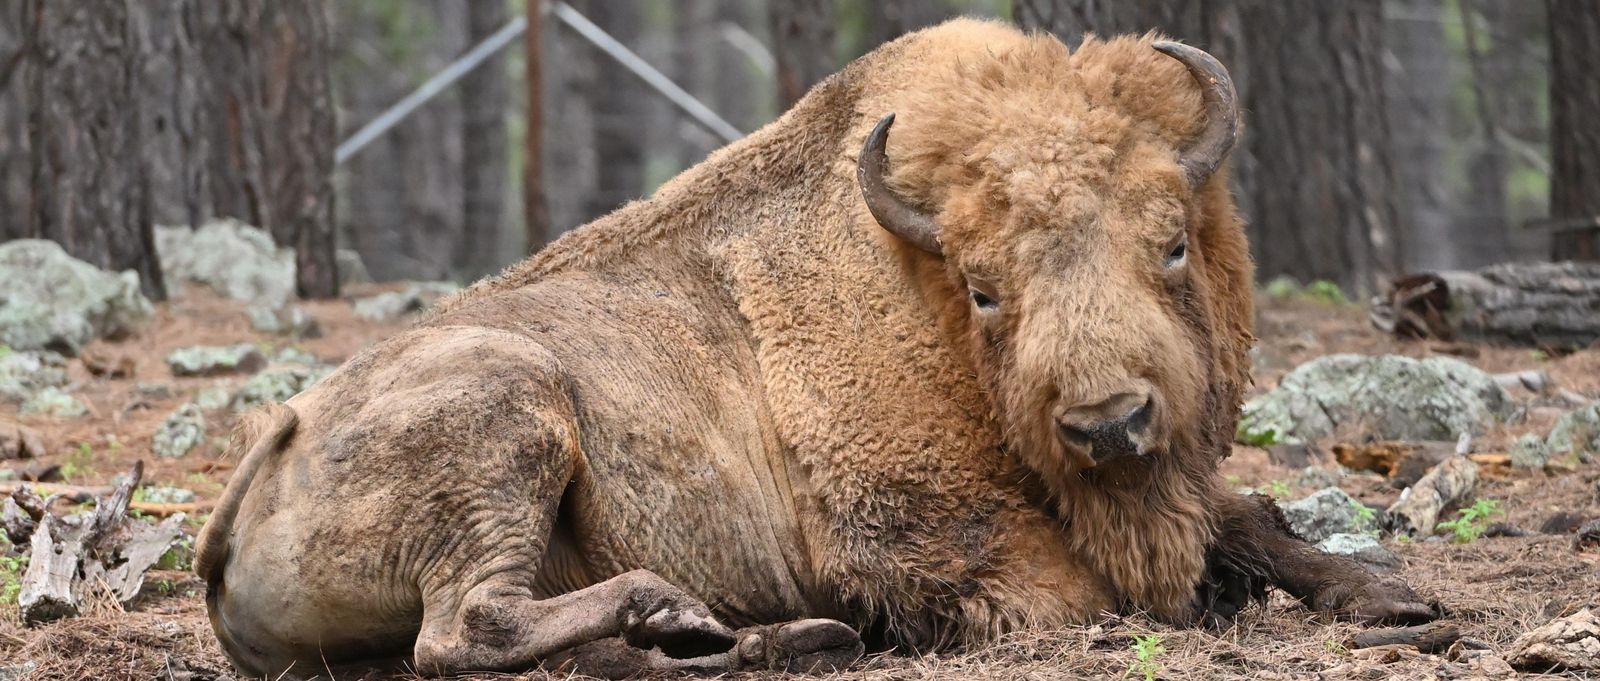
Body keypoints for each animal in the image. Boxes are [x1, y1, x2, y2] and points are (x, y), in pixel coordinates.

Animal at [196, 19, 1434, 678]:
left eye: (1169, 243)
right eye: (985, 289)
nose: (1108, 422)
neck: (918, 291)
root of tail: (273, 447)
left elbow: (1253, 519)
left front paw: (1394, 601)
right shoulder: (930, 540)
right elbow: (1093, 591)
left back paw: (753, 634)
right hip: (510, 413)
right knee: (464, 631)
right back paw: (685, 611)